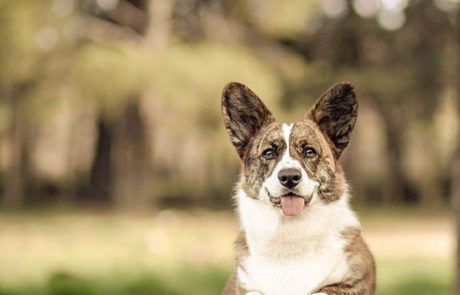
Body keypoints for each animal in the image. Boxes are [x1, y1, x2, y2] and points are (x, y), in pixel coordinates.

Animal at [221, 81, 376, 295]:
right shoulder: (246, 286)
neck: (291, 232)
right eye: (268, 153)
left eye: (309, 151)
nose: (289, 177)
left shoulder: (352, 282)